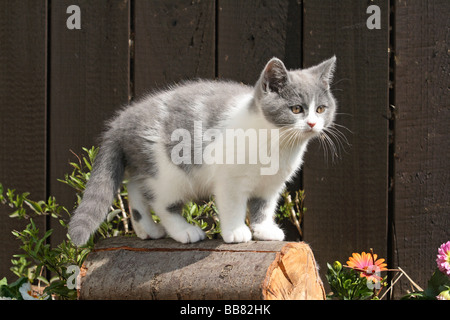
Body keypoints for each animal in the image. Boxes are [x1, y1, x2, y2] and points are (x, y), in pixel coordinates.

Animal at [68, 55, 336, 245]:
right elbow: (233, 205)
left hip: (147, 165)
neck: (277, 144)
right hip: (170, 174)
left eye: (321, 109)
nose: (313, 123)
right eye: (296, 109)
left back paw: (148, 229)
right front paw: (236, 232)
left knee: (135, 187)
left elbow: (264, 206)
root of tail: (122, 120)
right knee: (162, 203)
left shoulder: (271, 185)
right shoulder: (230, 180)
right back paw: (184, 231)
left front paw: (264, 230)